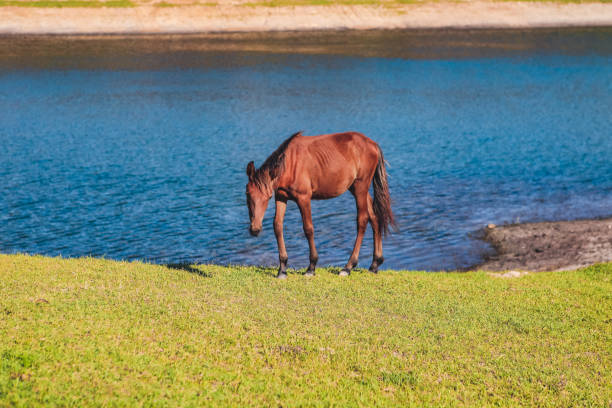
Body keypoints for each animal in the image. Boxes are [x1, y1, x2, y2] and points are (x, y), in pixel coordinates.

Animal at [246, 131, 394, 278]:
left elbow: (308, 229)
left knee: (362, 221)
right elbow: (277, 226)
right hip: (356, 188)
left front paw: (311, 267)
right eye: (247, 193)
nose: (255, 229)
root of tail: (373, 145)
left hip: (360, 188)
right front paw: (282, 269)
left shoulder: (304, 198)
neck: (290, 165)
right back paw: (375, 264)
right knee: (374, 217)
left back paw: (348, 267)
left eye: (268, 196)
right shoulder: (281, 196)